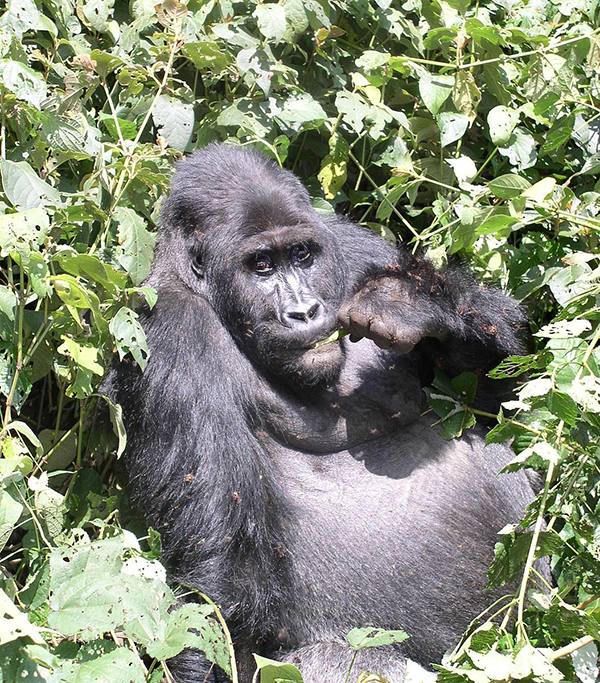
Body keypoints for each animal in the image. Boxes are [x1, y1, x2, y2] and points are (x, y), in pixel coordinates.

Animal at [108, 144, 540, 683]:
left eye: (301, 255)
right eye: (261, 266)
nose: (305, 311)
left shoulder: (354, 247)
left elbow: (500, 401)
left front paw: (410, 303)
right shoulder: (168, 333)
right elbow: (221, 578)